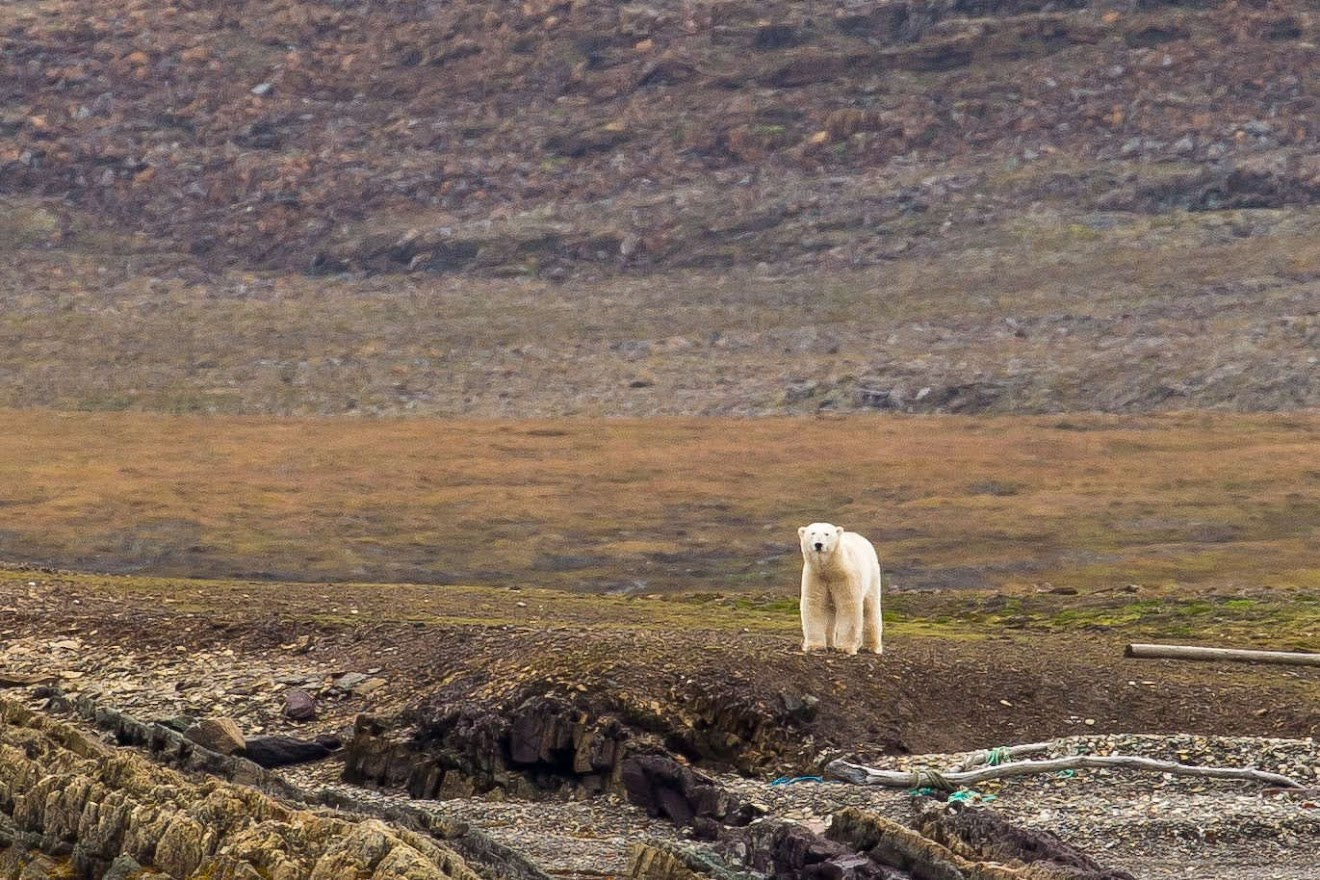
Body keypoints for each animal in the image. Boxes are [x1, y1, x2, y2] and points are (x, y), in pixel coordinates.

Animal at [797, 522, 881, 654]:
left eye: (827, 534)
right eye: (812, 533)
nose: (818, 544)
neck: (830, 568)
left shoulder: (845, 576)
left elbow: (848, 604)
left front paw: (845, 648)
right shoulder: (815, 576)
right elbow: (814, 603)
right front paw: (814, 646)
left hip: (871, 576)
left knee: (870, 608)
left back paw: (872, 647)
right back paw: (830, 644)